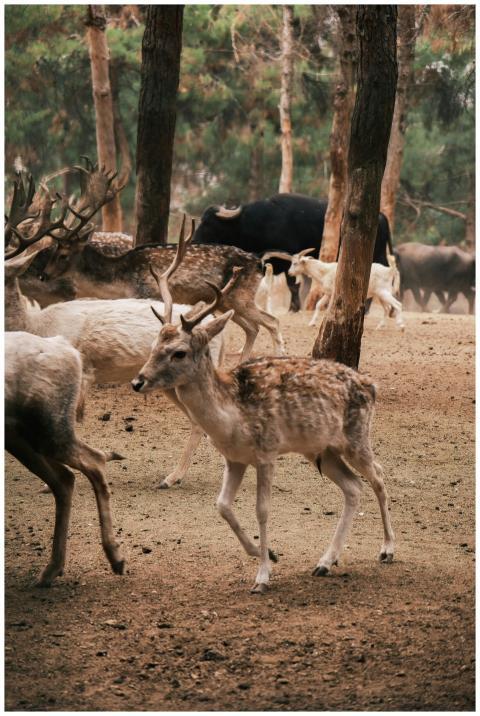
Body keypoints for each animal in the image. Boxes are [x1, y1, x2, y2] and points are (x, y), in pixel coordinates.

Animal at [5, 331, 125, 586]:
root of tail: (68, 350)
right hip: (22, 437)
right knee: (64, 478)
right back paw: (51, 570)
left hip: (49, 428)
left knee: (93, 461)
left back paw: (116, 558)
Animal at [131, 264, 395, 594]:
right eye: (154, 345)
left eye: (178, 352)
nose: (137, 381)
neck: (231, 419)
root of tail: (372, 386)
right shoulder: (234, 459)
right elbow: (222, 506)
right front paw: (267, 553)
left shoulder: (267, 453)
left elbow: (262, 510)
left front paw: (262, 577)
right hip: (323, 450)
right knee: (353, 487)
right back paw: (325, 562)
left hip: (356, 436)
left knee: (379, 476)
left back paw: (387, 550)